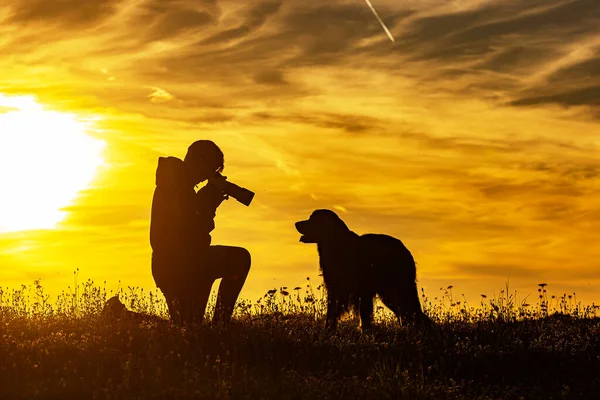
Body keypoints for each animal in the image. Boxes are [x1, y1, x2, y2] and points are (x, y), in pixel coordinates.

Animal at [294, 211, 426, 330]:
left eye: (312, 219)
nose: (296, 223)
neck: (337, 245)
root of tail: (406, 250)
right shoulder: (336, 290)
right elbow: (332, 314)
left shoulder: (360, 291)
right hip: (389, 294)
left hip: (395, 291)